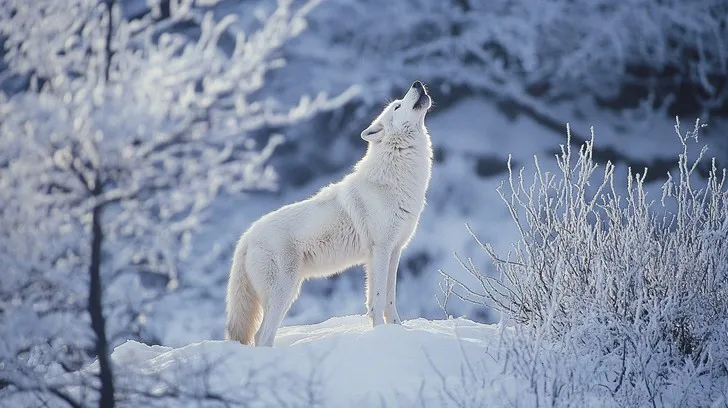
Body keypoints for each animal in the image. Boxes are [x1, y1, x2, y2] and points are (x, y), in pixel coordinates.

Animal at [226, 81, 433, 346]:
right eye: (397, 106)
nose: (417, 83)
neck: (395, 179)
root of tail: (246, 237)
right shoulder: (381, 250)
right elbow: (377, 299)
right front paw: (379, 333)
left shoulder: (394, 250)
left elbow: (389, 298)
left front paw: (398, 330)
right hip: (284, 291)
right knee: (262, 336)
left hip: (288, 292)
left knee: (261, 334)